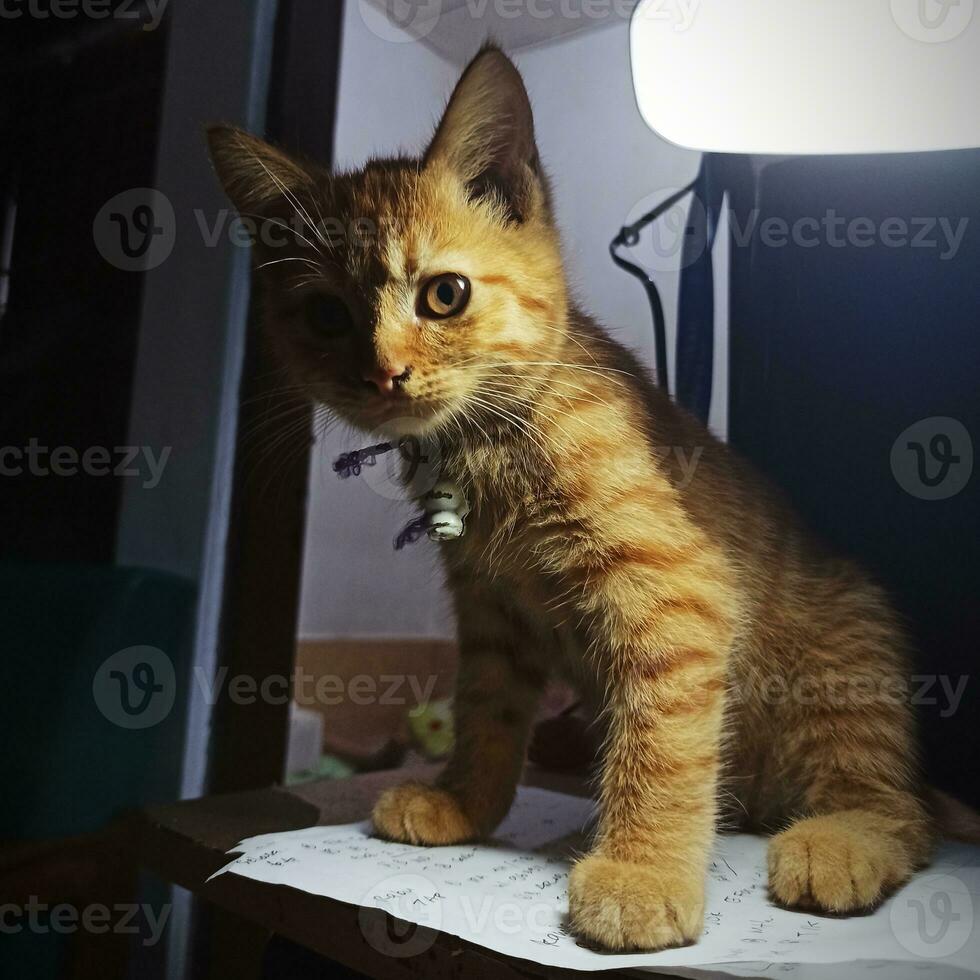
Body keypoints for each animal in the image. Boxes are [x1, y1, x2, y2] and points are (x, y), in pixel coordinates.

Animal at [211, 46, 936, 948]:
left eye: (444, 294)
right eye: (324, 316)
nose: (384, 374)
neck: (488, 447)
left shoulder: (676, 592)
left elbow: (660, 742)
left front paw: (643, 871)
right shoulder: (491, 613)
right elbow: (485, 710)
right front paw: (465, 803)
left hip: (843, 671)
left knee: (901, 810)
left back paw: (839, 841)